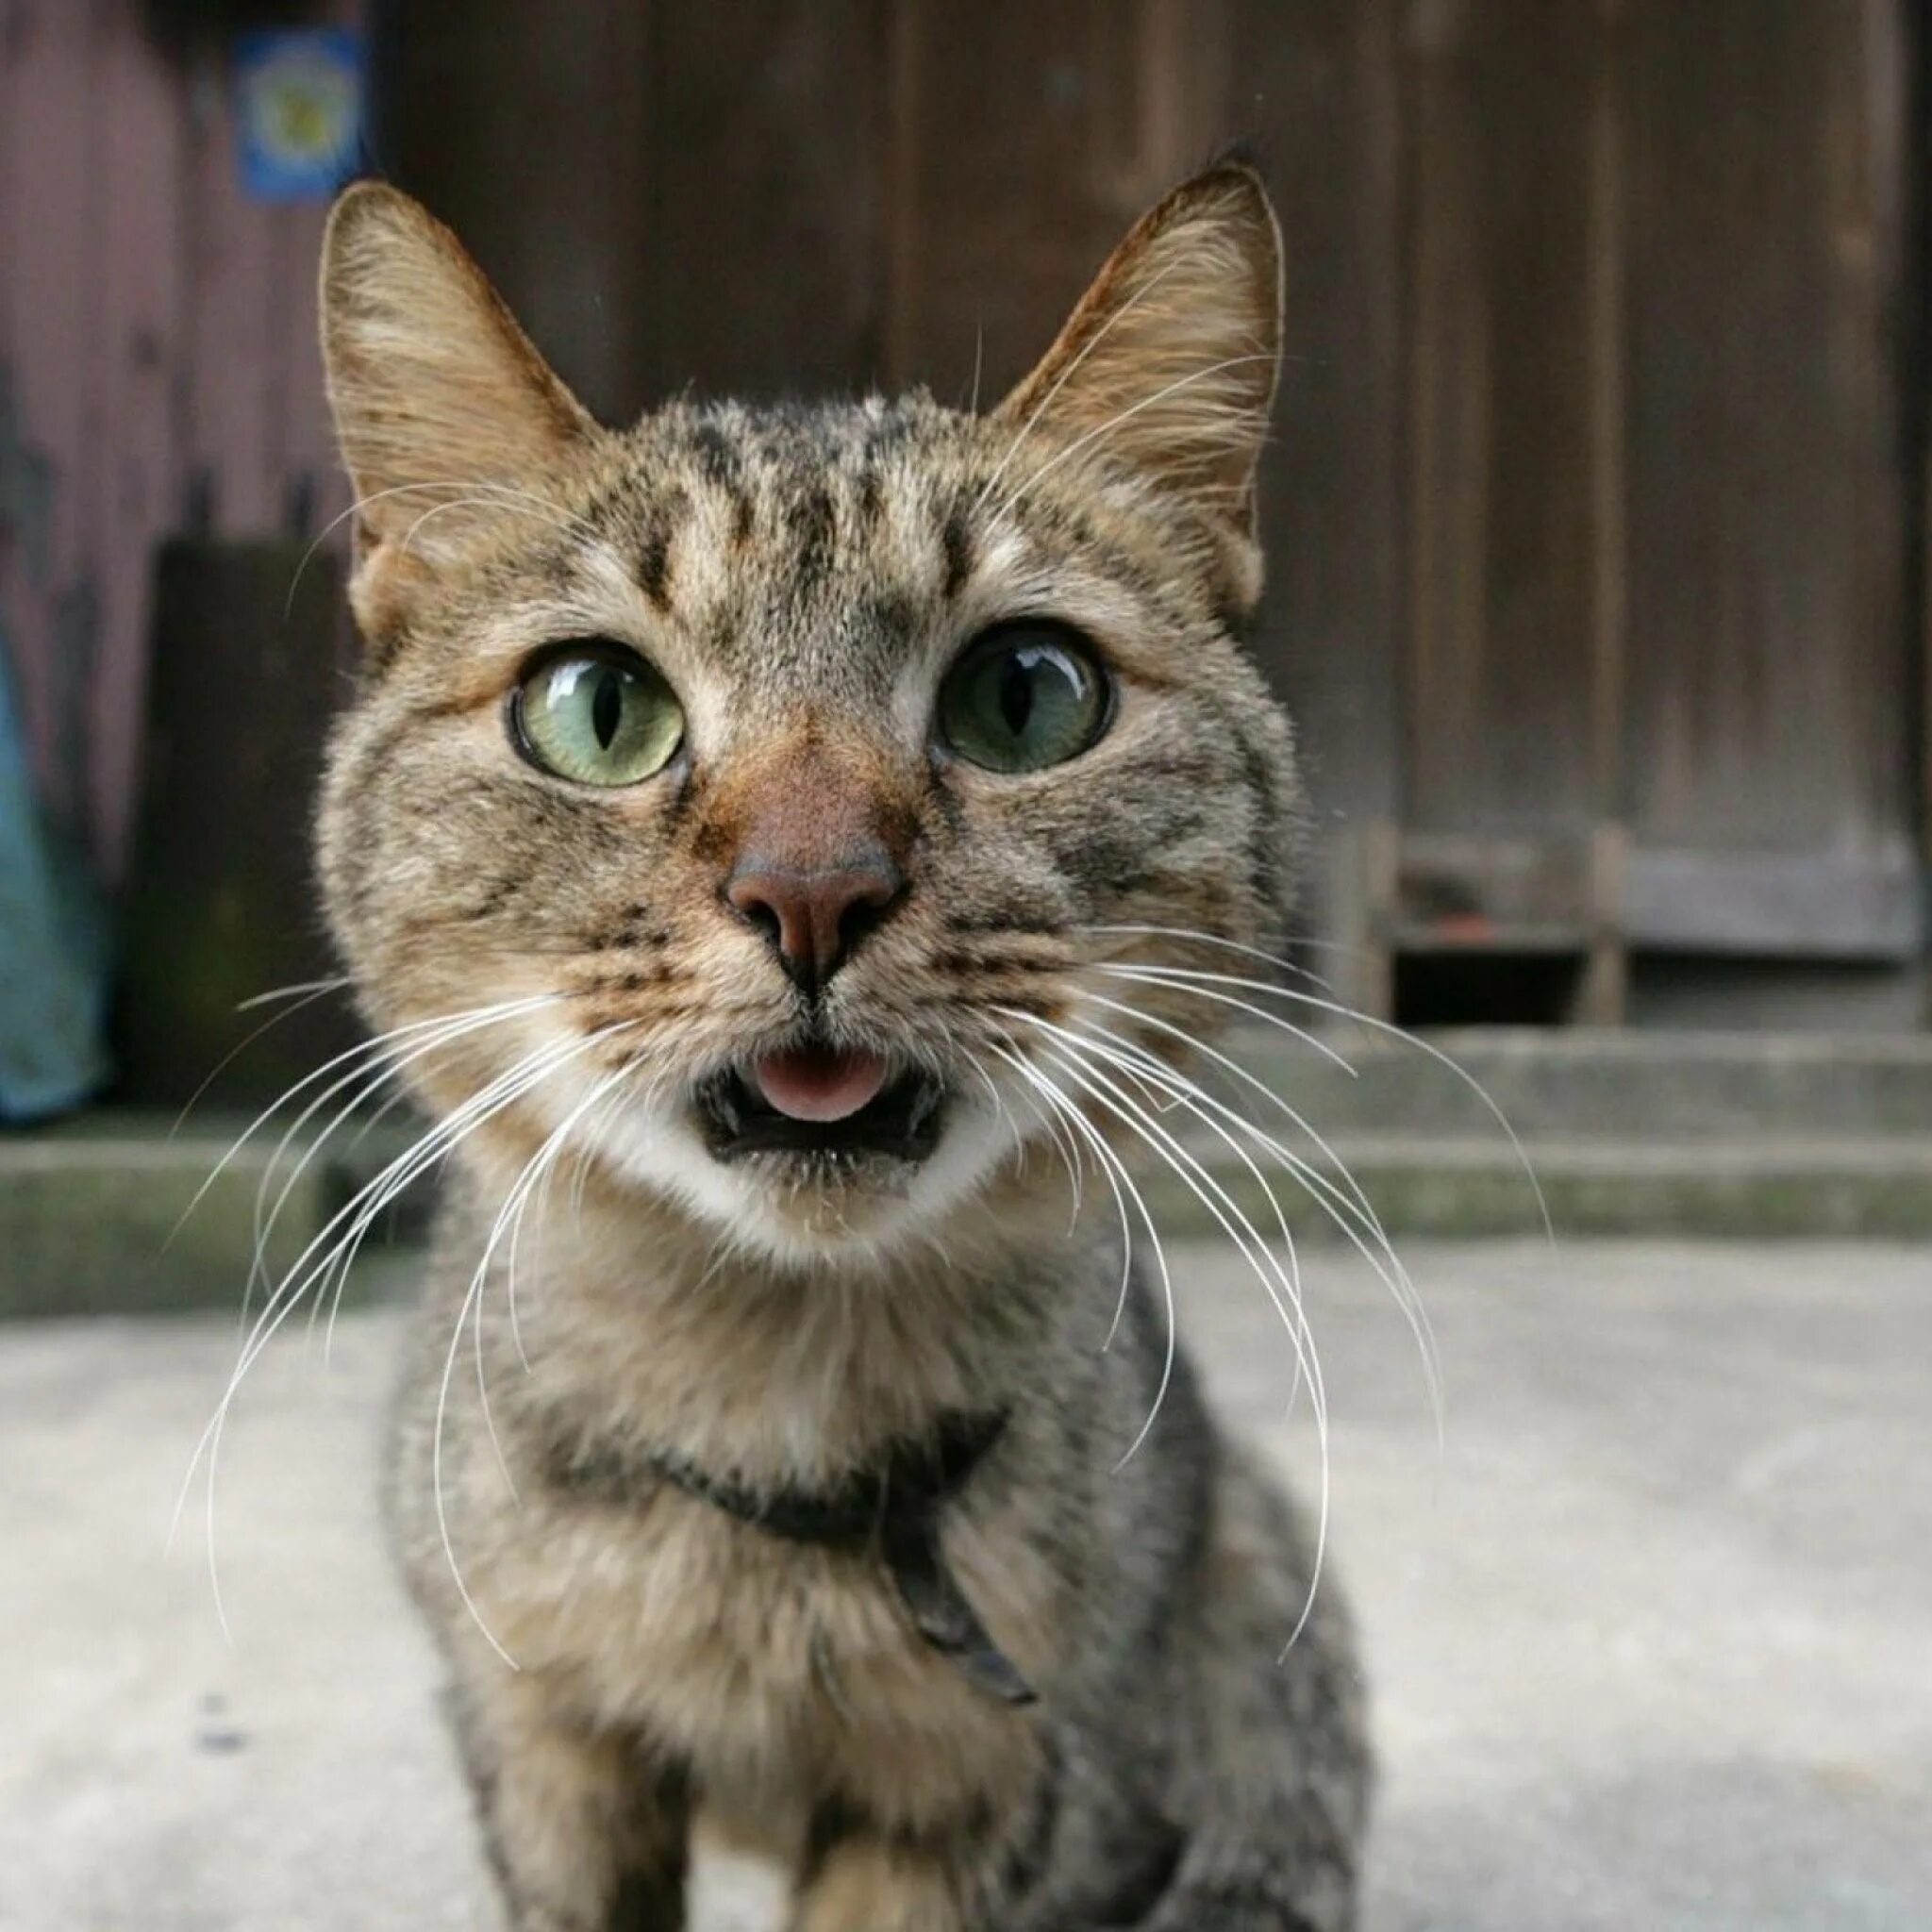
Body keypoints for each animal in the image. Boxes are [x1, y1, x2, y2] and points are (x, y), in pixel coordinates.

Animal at [312, 158, 1375, 1924]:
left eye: (1028, 692)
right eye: (596, 707)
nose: (809, 889)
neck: (774, 1421)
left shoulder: (980, 1787)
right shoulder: (541, 1742)